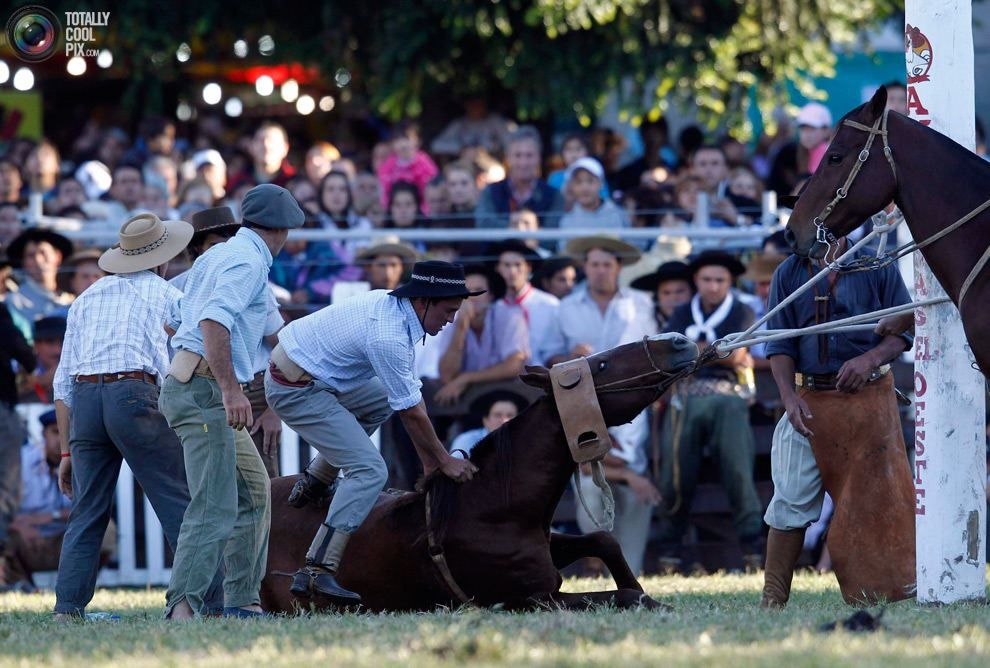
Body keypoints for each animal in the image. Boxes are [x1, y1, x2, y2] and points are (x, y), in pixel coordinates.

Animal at [262, 332, 696, 612]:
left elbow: (604, 541)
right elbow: (625, 595)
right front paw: (650, 599)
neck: (491, 506)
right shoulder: (534, 599)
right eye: (602, 364)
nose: (679, 341)